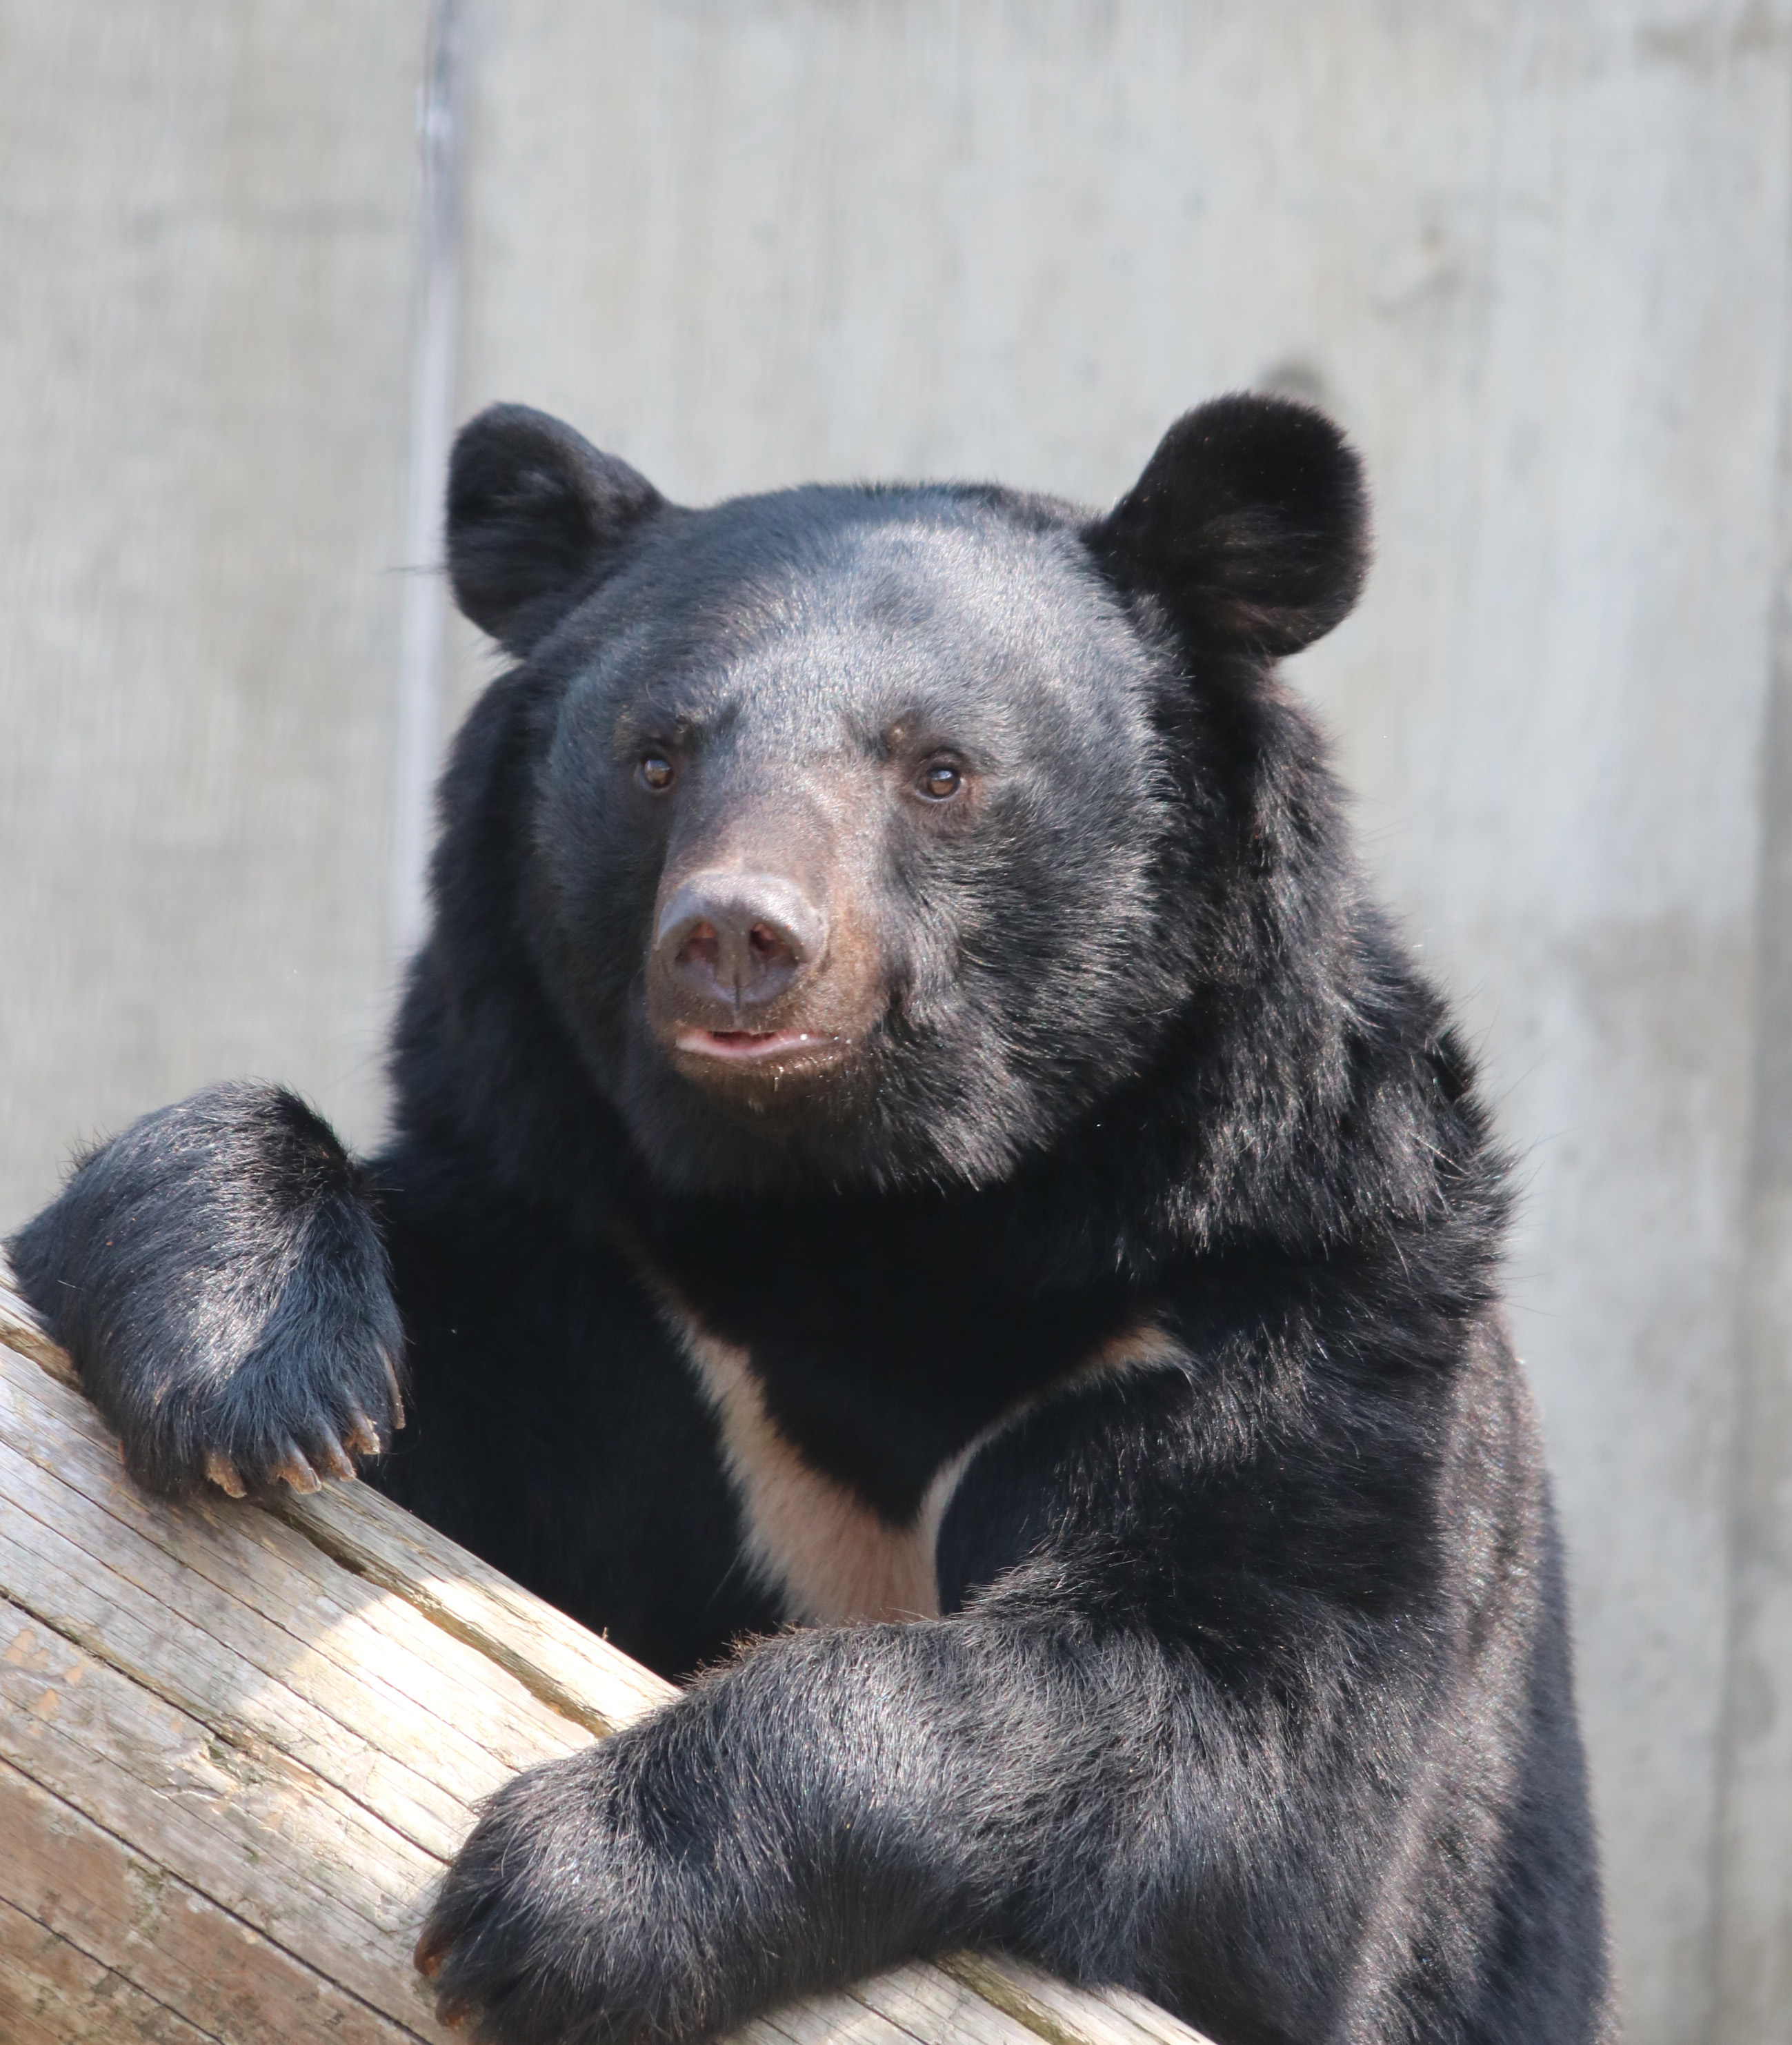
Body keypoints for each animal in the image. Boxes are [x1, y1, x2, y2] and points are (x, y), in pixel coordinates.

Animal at [10, 395, 1610, 2045]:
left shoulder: (1288, 1301)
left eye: (940, 769)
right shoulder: (605, 1284)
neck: (865, 1214)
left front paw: (564, 1897)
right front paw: (255, 1383)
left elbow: (1248, 1724)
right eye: (656, 757)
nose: (735, 936)